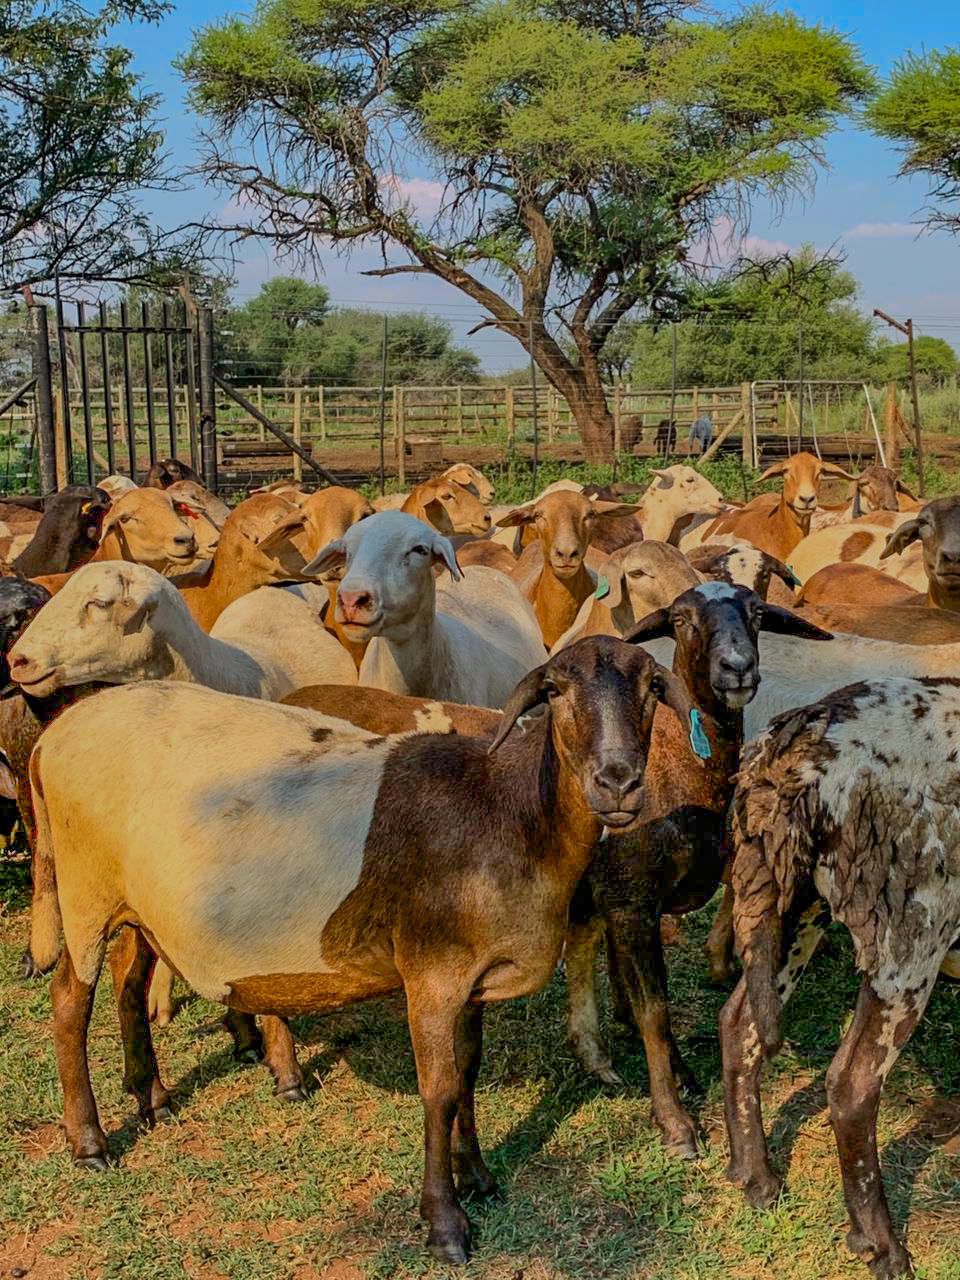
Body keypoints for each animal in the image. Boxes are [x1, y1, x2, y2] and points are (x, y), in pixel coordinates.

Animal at [28, 637, 691, 1263]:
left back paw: (152, 1096)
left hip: (139, 908)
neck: (508, 812)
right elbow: (439, 1091)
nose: (618, 781)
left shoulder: (471, 981)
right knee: (69, 1002)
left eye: (652, 689)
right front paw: (445, 1225)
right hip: (84, 893)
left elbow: (467, 1076)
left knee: (129, 981)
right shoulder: (430, 975)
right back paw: (89, 1142)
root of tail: (54, 735)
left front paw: (478, 1178)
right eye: (554, 691)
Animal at [721, 676, 960, 1280]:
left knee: (741, 1020)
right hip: (912, 928)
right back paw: (882, 1246)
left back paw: (756, 1177)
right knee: (852, 1084)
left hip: (786, 896)